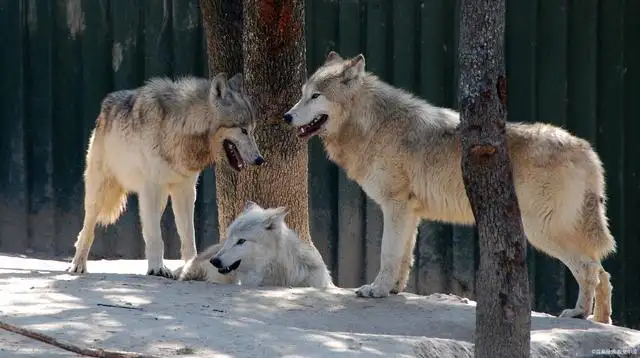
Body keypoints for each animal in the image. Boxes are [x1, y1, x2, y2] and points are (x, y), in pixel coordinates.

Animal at [65, 72, 264, 276]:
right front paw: (157, 268)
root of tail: (105, 107)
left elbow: (188, 238)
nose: (260, 160)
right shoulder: (152, 188)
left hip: (159, 199)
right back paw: (77, 265)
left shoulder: (185, 191)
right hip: (99, 194)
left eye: (252, 129)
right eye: (243, 130)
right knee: (87, 229)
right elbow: (156, 237)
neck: (180, 128)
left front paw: (189, 267)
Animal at [282, 51, 616, 324]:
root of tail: (586, 149)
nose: (286, 116)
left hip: (542, 231)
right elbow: (404, 257)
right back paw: (601, 320)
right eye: (302, 95)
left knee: (589, 270)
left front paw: (376, 289)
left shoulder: (395, 206)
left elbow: (388, 254)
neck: (374, 126)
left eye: (316, 96)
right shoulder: (410, 212)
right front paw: (393, 289)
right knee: (603, 272)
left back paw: (579, 314)